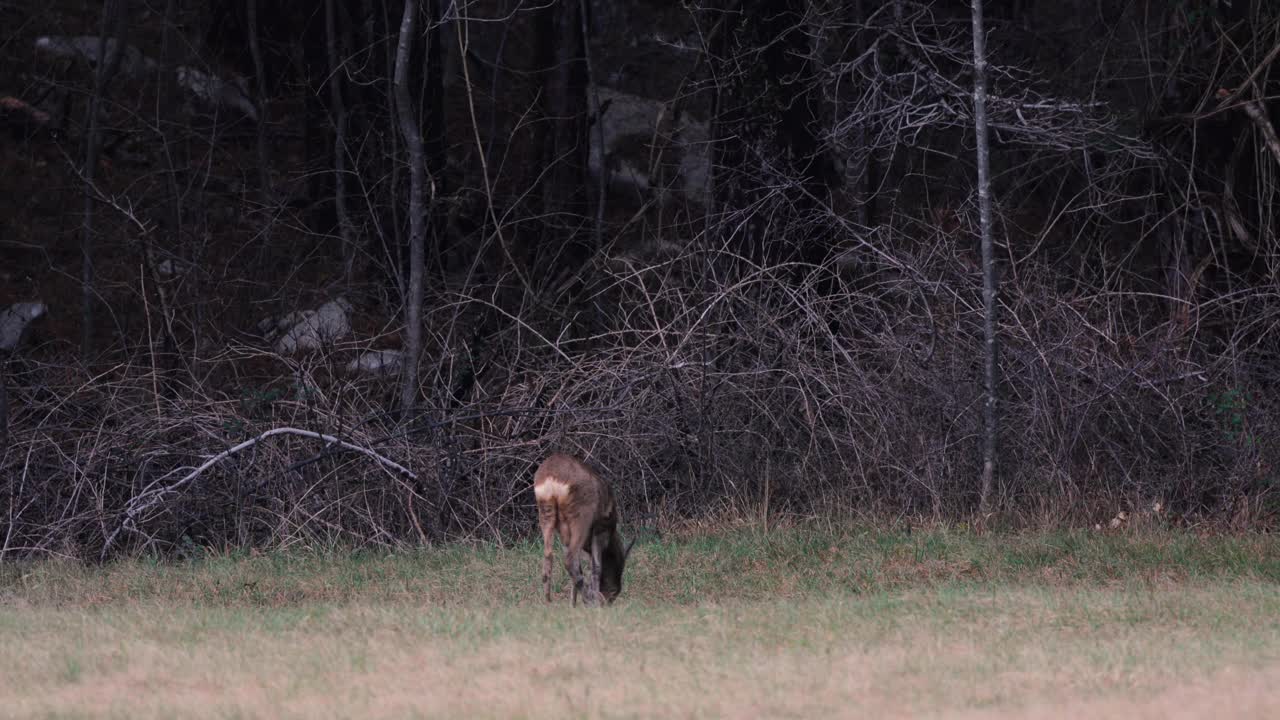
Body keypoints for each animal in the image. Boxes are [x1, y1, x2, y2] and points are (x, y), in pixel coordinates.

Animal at [529, 450, 634, 602]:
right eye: (620, 565)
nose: (611, 596)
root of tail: (552, 479)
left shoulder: (565, 533)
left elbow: (580, 566)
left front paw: (573, 603)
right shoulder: (600, 528)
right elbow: (596, 566)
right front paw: (594, 598)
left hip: (546, 511)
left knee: (549, 556)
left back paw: (548, 601)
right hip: (581, 516)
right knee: (569, 559)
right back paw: (590, 600)